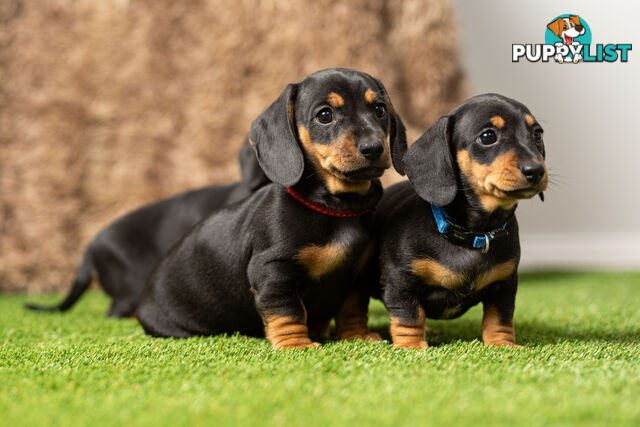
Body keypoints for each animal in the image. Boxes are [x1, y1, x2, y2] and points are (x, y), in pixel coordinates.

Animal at [136, 67, 404, 348]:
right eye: (325, 115)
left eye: (380, 109)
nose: (373, 148)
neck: (337, 208)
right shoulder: (273, 271)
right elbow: (288, 311)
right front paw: (295, 344)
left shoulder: (355, 276)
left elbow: (352, 309)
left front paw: (357, 336)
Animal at [372, 93, 548, 348]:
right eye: (488, 136)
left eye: (537, 134)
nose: (536, 170)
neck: (474, 233)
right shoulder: (400, 281)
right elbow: (409, 315)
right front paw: (411, 346)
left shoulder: (505, 283)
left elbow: (500, 317)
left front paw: (503, 344)